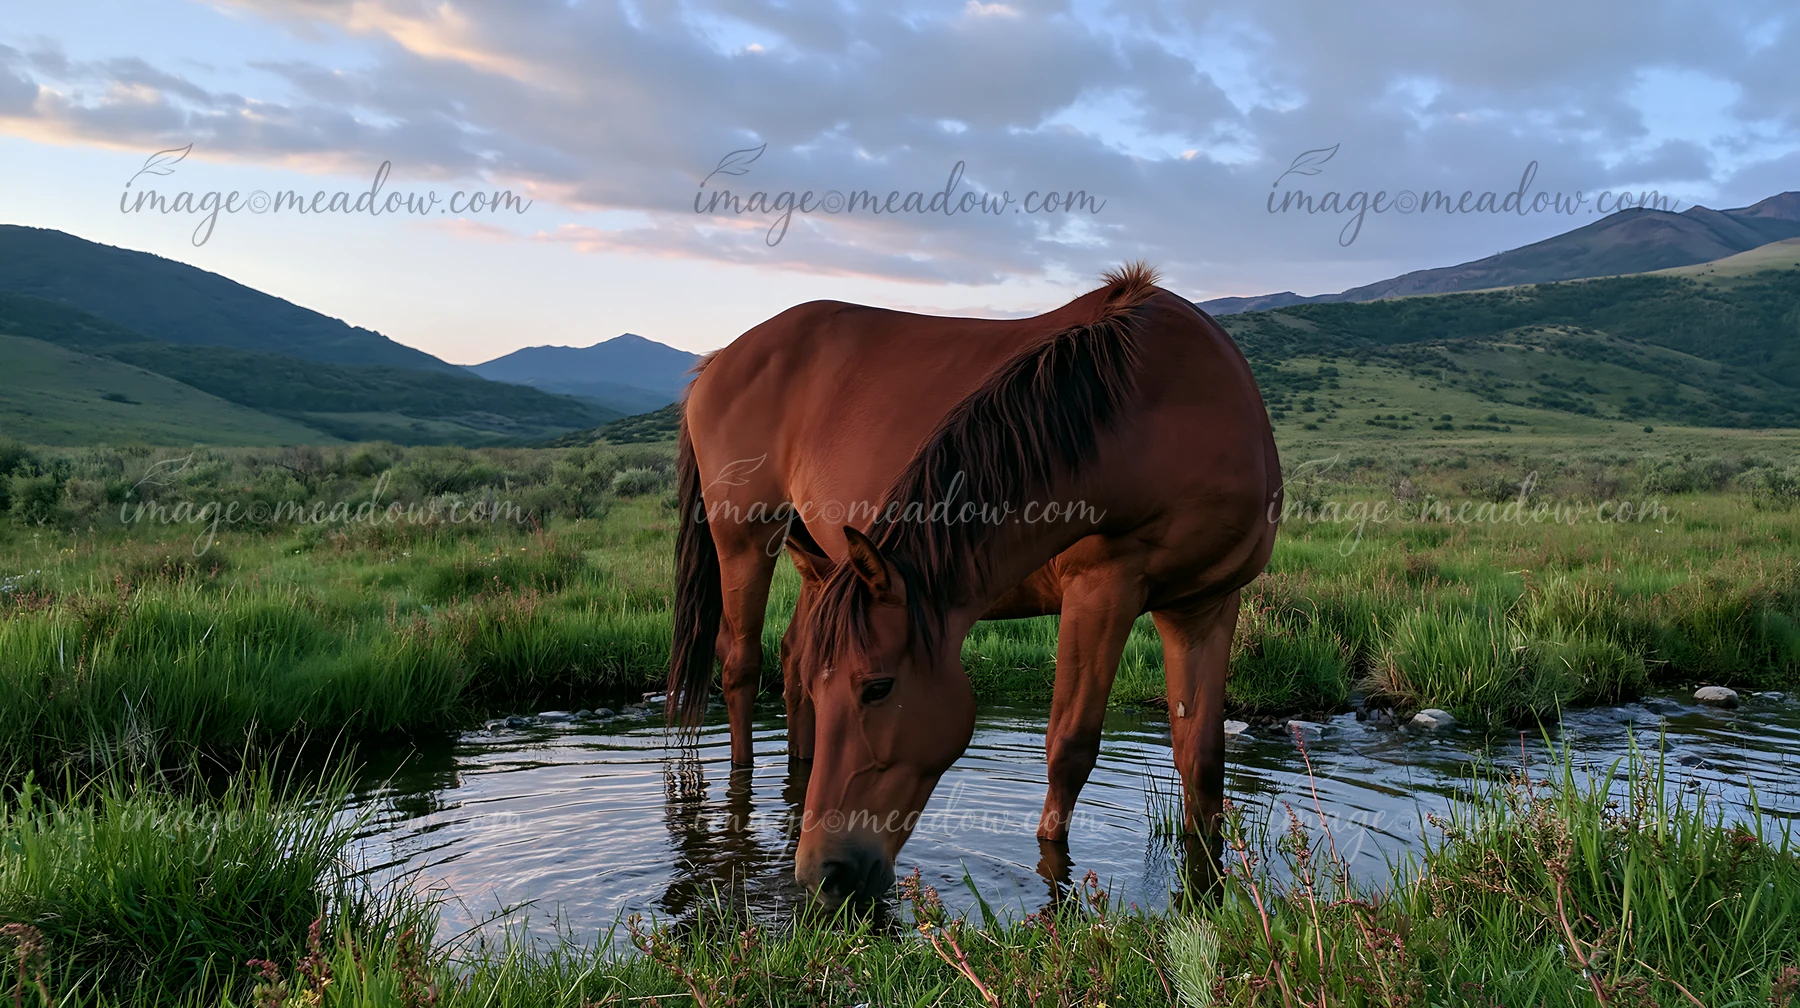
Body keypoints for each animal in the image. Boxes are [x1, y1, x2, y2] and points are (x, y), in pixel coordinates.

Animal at [671, 264, 1281, 902]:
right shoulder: (1101, 590)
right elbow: (1069, 748)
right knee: (740, 665)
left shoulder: (1205, 606)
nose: (822, 874)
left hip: (812, 559)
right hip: (744, 541)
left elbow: (1201, 759)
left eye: (878, 688)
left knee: (788, 660)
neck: (1171, 405)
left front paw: (1206, 886)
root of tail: (717, 361)